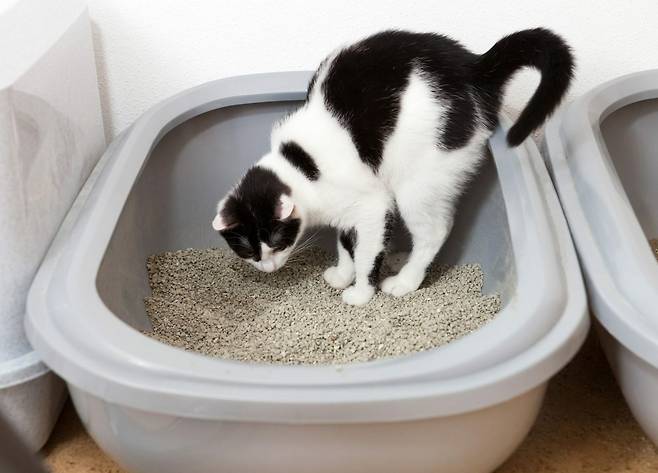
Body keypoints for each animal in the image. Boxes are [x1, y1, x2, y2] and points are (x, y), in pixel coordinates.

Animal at [212, 28, 574, 305]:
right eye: (245, 248)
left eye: (275, 239)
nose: (267, 267)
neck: (300, 167)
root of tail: (474, 67)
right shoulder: (347, 212)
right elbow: (347, 244)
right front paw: (342, 274)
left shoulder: (373, 205)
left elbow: (367, 253)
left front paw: (360, 292)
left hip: (417, 182)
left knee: (435, 231)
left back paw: (405, 282)